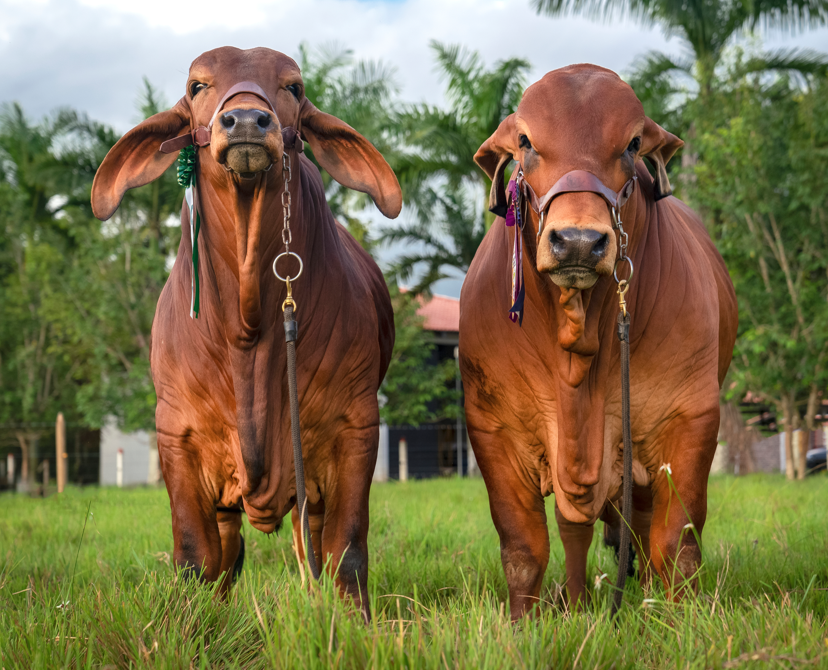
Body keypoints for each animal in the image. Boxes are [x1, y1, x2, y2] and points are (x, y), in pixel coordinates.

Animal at [90, 47, 402, 620]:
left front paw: (355, 624)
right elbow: (195, 557)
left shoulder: (356, 427)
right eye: (197, 86)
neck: (248, 329)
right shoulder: (178, 437)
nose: (247, 122)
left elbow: (347, 551)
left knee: (311, 546)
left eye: (294, 87)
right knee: (228, 550)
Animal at [460, 65, 736, 624]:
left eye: (631, 144)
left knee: (641, 526)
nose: (579, 242)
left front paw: (676, 619)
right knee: (577, 528)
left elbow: (676, 543)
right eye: (525, 142)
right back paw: (577, 599)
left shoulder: (690, 418)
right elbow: (524, 546)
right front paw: (526, 621)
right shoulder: (493, 427)